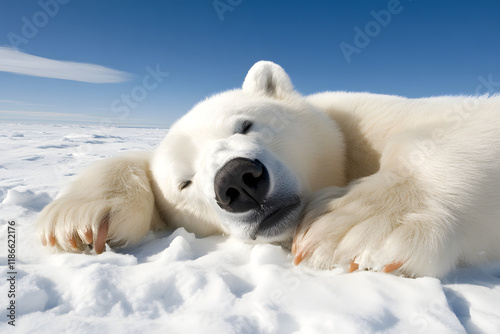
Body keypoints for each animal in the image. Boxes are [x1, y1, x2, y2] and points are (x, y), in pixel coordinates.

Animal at [37, 61, 500, 278]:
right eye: (185, 183)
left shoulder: (364, 119)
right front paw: (74, 221)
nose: (237, 181)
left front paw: (349, 224)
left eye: (245, 124)